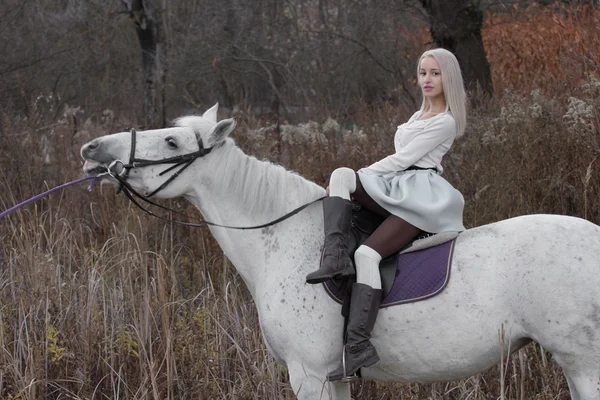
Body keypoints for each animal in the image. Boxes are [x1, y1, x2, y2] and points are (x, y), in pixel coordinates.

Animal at [82, 104, 600, 400]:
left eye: (171, 140)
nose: (93, 150)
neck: (286, 241)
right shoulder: (334, 378)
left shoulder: (308, 375)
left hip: (583, 362)